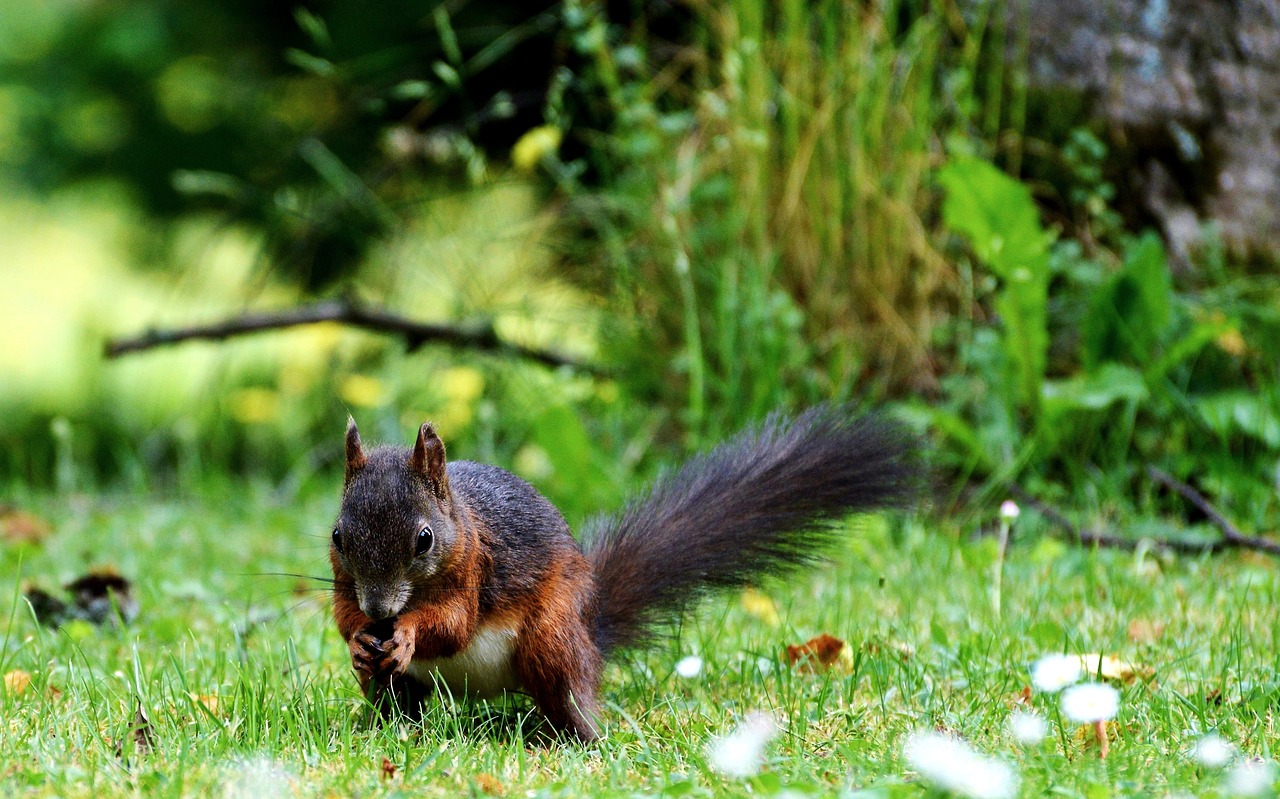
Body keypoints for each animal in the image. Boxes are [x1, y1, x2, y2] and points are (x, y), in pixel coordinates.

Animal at [335, 404, 921, 742]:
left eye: (424, 540)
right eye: (338, 537)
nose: (380, 611)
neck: (460, 522)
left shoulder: (476, 569)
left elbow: (454, 622)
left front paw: (409, 633)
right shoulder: (346, 583)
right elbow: (342, 614)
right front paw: (360, 637)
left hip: (551, 638)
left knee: (567, 693)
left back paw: (577, 741)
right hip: (406, 686)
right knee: (400, 701)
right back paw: (379, 729)